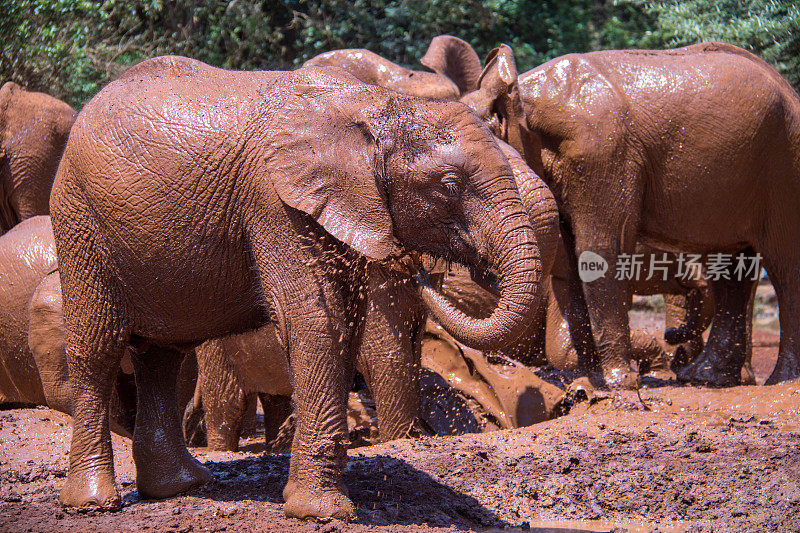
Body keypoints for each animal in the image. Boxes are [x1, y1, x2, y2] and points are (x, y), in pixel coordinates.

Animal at [50, 55, 552, 520]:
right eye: (449, 184)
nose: (422, 271)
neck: (375, 105)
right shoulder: (274, 202)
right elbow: (318, 322)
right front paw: (322, 513)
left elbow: (346, 329)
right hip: (79, 221)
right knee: (98, 349)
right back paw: (94, 503)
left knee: (160, 354)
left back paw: (181, 487)